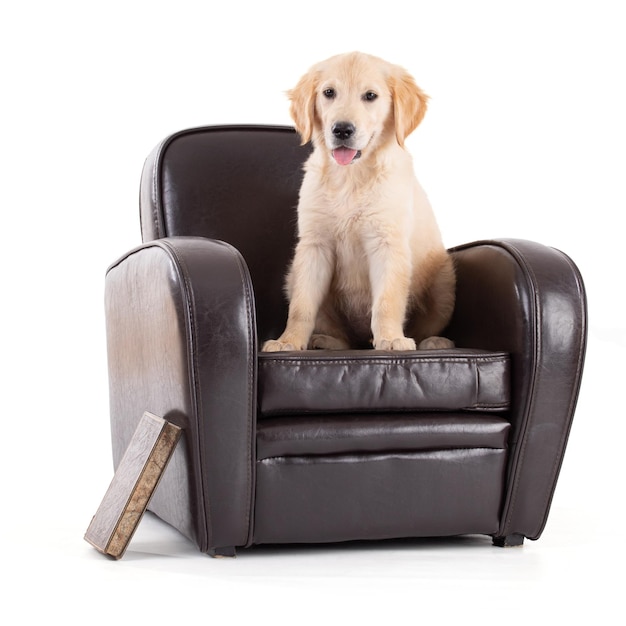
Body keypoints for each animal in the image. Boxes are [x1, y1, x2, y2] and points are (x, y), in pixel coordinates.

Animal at [262, 50, 454, 348]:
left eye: (370, 96)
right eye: (329, 92)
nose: (342, 130)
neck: (350, 177)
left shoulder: (387, 243)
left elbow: (387, 301)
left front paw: (391, 338)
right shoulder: (314, 246)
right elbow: (301, 306)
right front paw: (288, 341)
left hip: (444, 282)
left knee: (426, 327)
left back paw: (435, 342)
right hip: (292, 275)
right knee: (343, 338)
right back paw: (324, 342)